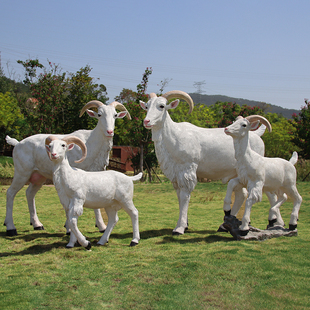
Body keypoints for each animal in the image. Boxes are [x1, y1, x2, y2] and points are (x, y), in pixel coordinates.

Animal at [5, 100, 131, 236]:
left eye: (115, 115)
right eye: (99, 114)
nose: (109, 132)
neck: (91, 143)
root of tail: (17, 144)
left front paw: (100, 226)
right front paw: (70, 229)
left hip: (38, 176)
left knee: (29, 194)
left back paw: (37, 224)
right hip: (21, 173)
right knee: (10, 193)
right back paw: (10, 227)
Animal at [139, 91, 278, 234]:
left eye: (161, 106)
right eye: (146, 106)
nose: (146, 121)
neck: (173, 136)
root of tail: (257, 135)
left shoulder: (187, 169)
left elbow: (184, 196)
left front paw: (180, 228)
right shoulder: (176, 175)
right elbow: (179, 197)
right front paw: (185, 224)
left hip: (257, 174)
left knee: (271, 194)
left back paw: (273, 222)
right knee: (242, 195)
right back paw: (226, 224)